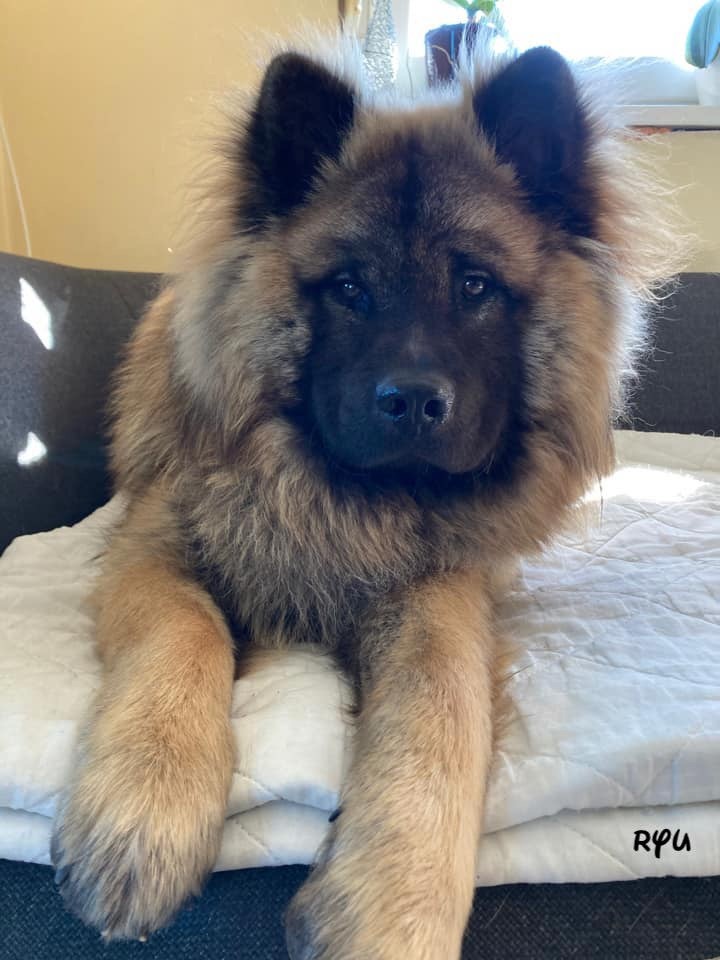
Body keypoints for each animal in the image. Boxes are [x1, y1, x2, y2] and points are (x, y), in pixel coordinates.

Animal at [51, 37, 680, 958]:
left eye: (475, 286)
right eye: (349, 287)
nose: (411, 400)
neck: (330, 502)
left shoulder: (436, 592)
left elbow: (443, 708)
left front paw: (392, 905)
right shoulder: (151, 545)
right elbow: (186, 632)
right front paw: (142, 813)